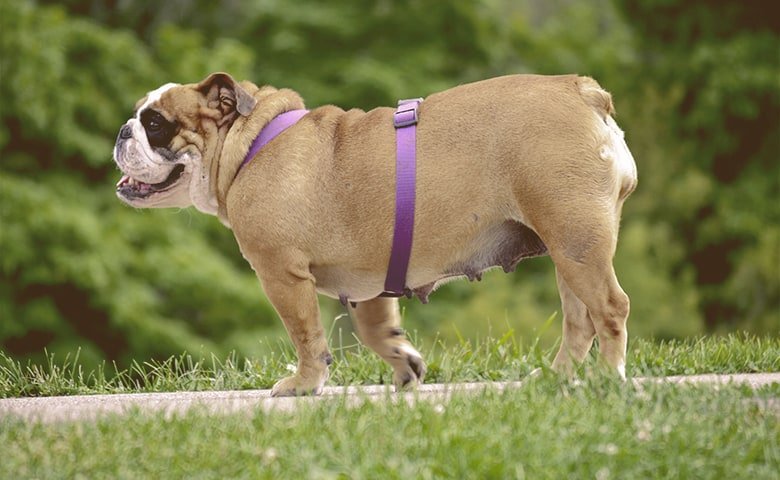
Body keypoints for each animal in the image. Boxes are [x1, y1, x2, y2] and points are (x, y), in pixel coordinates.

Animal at [117, 71, 640, 394]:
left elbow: (305, 334)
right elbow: (374, 328)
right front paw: (405, 364)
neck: (248, 144)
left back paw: (608, 379)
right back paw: (555, 380)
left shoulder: (281, 275)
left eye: (155, 124)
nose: (123, 131)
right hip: (569, 246)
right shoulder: (372, 277)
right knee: (579, 319)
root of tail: (583, 91)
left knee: (610, 309)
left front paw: (303, 385)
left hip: (576, 238)